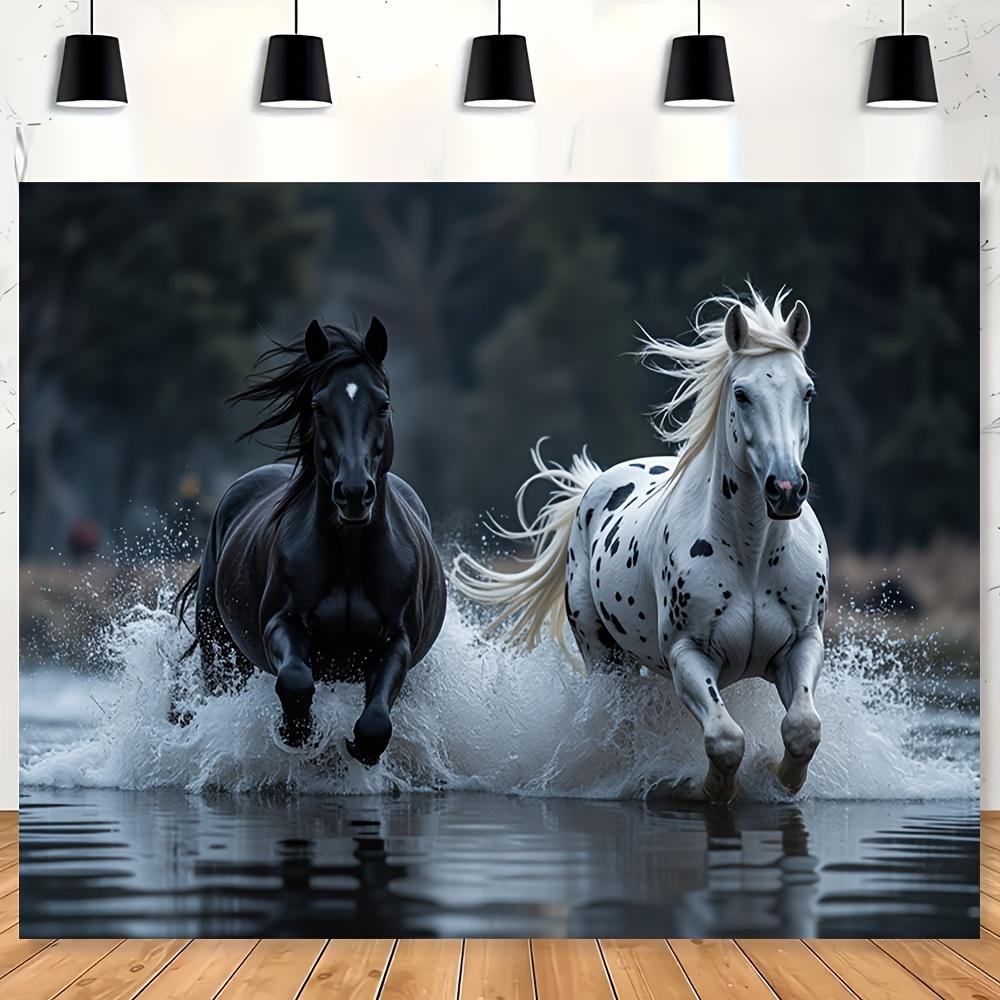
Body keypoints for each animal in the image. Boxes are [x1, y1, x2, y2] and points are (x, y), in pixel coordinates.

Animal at [173, 317, 447, 766]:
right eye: (318, 406)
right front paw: (299, 732)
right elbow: (296, 680)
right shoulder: (282, 623)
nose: (353, 493)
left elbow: (376, 722)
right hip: (220, 651)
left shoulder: (395, 642)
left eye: (383, 404)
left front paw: (357, 748)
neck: (349, 557)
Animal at [453, 287, 828, 802]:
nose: (786, 489)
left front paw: (779, 776)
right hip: (606, 658)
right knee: (624, 726)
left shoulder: (802, 643)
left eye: (807, 391)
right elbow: (725, 739)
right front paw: (708, 790)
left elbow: (802, 727)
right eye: (741, 393)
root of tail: (593, 486)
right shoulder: (687, 655)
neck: (750, 557)